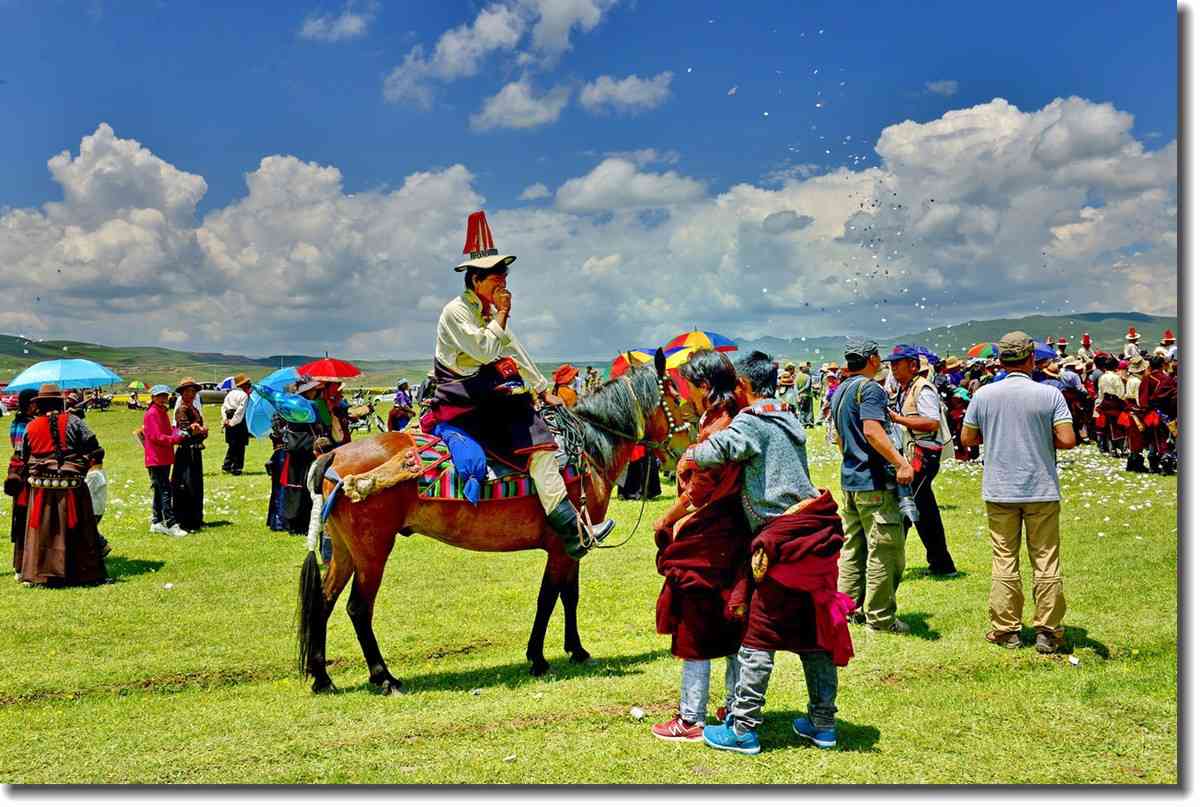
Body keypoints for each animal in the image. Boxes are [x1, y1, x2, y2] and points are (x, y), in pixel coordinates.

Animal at [295, 355, 700, 696]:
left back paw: (322, 677)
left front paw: (577, 650)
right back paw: (384, 677)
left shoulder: (573, 546)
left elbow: (569, 596)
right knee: (358, 608)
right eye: (680, 398)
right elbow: (548, 597)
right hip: (373, 552)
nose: (691, 449)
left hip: (345, 551)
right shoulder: (562, 545)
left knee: (324, 602)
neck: (588, 446)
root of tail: (333, 455)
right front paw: (538, 658)